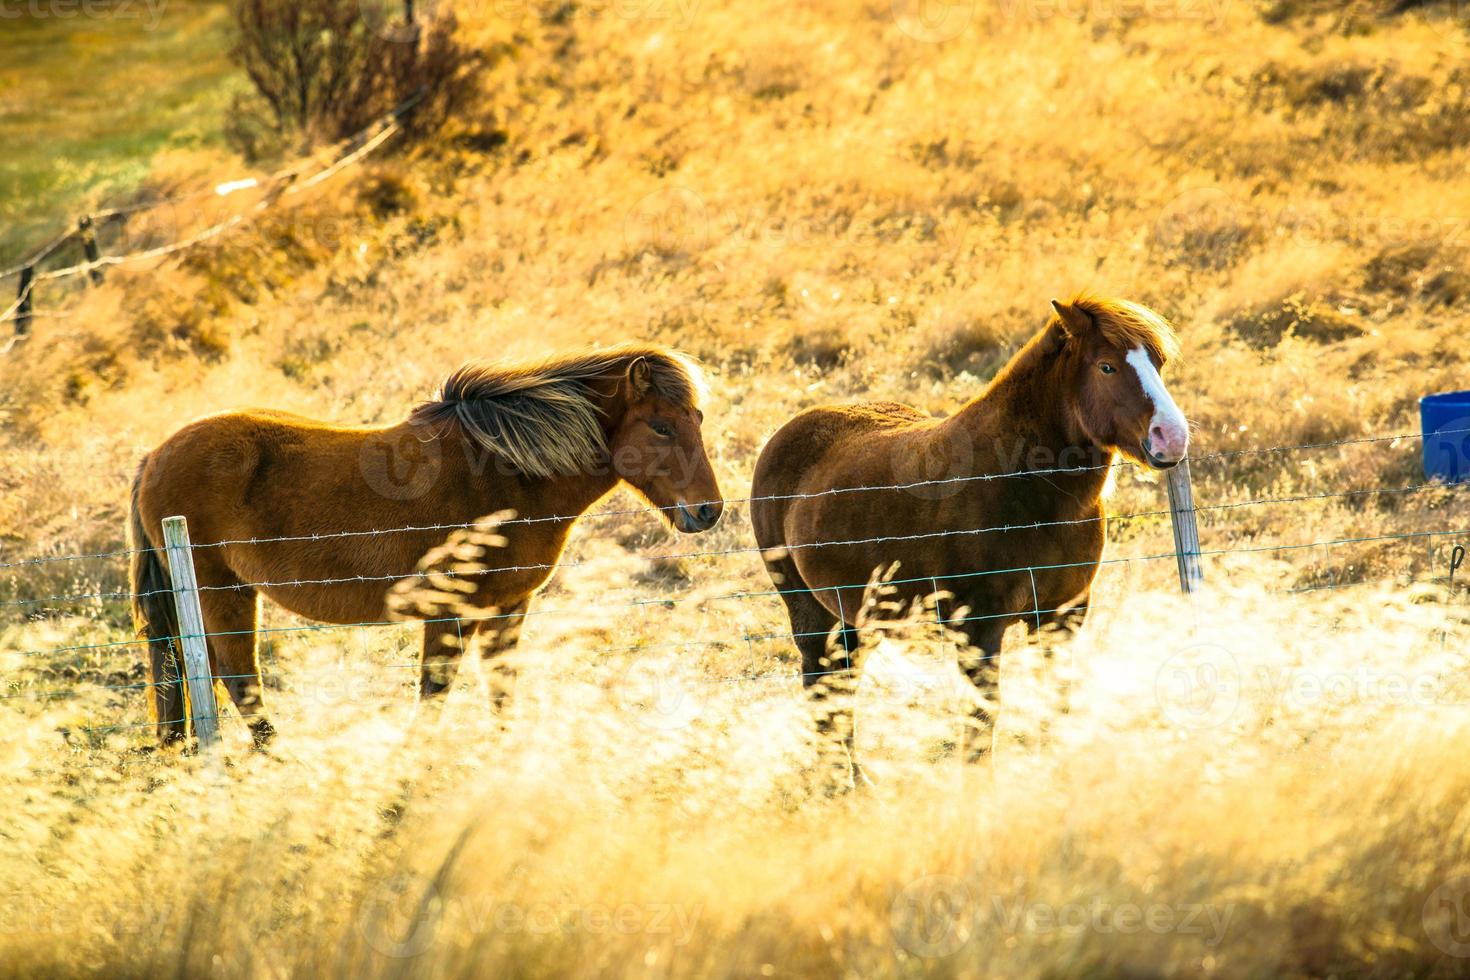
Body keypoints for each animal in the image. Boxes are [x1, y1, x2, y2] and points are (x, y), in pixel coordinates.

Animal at [130, 345, 717, 743]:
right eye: (661, 427)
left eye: (696, 418)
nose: (709, 511)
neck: (503, 471)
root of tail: (155, 455)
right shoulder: (449, 613)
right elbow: (434, 698)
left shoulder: (507, 608)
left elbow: (501, 693)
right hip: (223, 594)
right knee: (238, 678)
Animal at [752, 295, 1187, 787]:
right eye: (1107, 366)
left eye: (1158, 362)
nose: (1172, 438)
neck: (1019, 483)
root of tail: (782, 437)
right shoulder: (977, 626)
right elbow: (983, 716)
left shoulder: (1063, 615)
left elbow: (1054, 701)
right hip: (807, 611)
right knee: (821, 687)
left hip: (852, 616)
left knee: (840, 688)